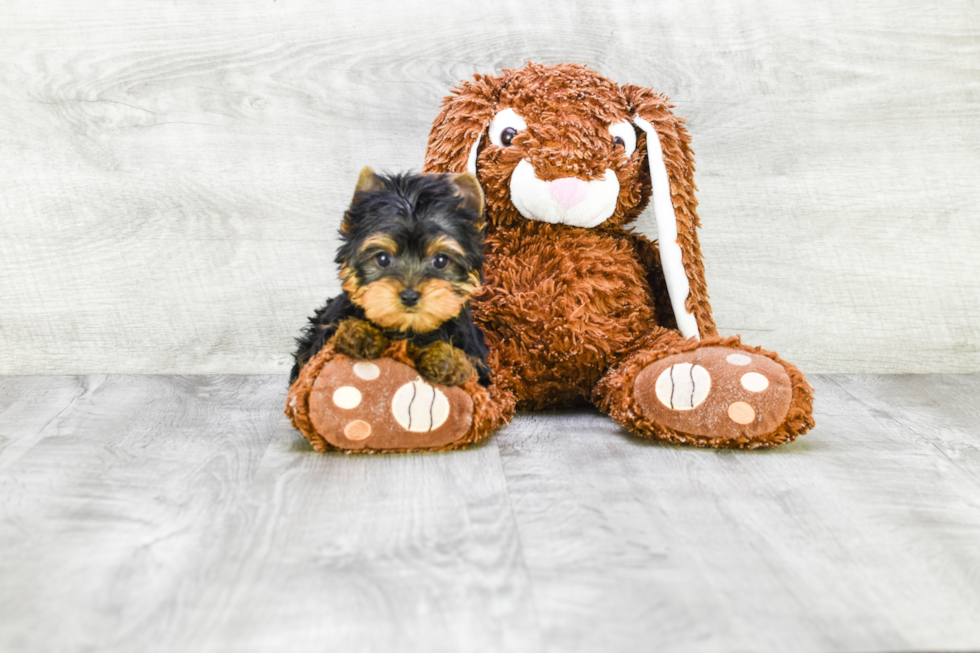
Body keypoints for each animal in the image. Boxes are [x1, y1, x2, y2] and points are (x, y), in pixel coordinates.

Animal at [290, 167, 490, 388]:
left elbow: (469, 359)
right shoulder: (324, 333)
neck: (406, 328)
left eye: (440, 260)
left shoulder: (475, 352)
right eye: (383, 258)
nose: (409, 296)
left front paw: (449, 359)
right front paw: (359, 333)